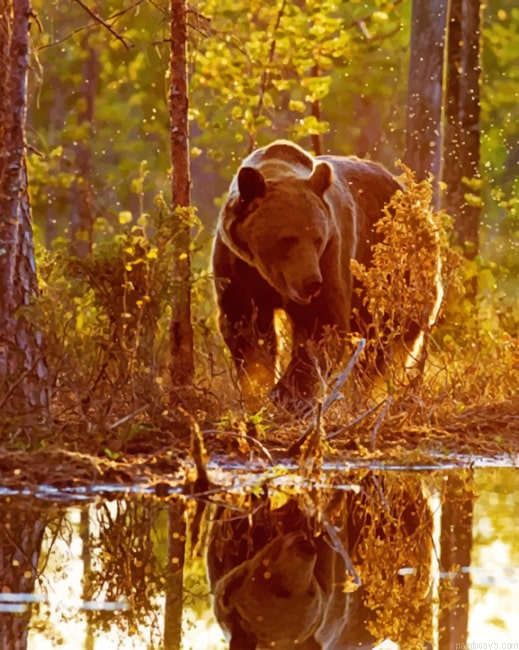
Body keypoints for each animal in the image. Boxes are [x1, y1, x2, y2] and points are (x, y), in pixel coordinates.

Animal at [212, 139, 441, 410]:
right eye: (287, 239)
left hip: (398, 272)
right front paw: (258, 387)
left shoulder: (332, 256)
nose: (311, 283)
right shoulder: (237, 267)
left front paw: (287, 395)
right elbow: (246, 329)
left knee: (385, 342)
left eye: (317, 239)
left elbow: (322, 325)